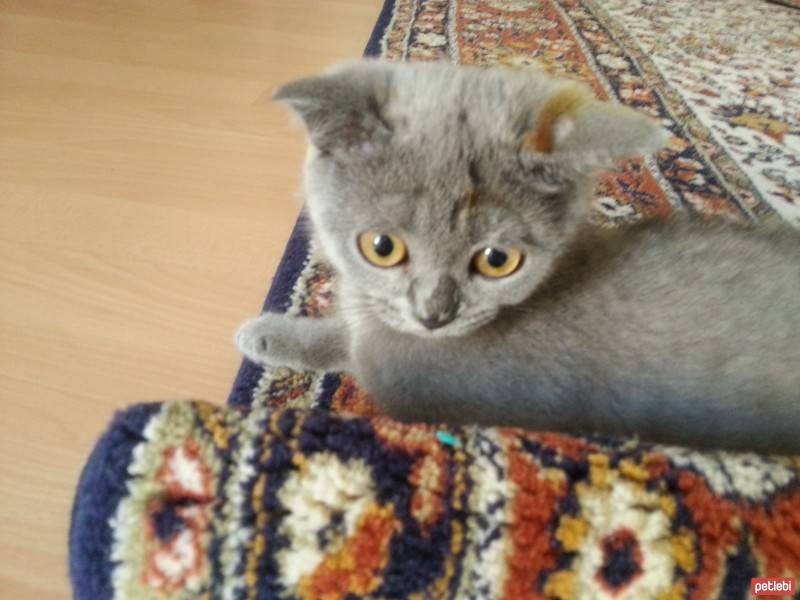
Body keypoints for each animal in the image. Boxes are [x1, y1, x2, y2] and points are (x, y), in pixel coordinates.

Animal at [238, 62, 800, 454]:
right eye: (382, 246)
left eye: (497, 260)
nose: (435, 314)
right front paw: (272, 333)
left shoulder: (403, 377)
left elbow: (351, 349)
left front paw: (269, 334)